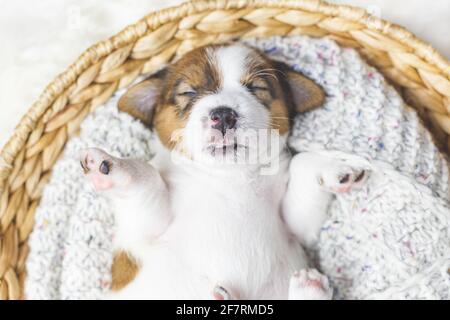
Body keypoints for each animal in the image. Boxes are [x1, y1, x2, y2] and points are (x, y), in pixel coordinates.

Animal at [80, 43, 370, 298]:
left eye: (256, 87)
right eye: (189, 93)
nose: (223, 115)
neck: (227, 178)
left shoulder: (295, 226)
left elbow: (302, 166)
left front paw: (335, 168)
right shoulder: (144, 229)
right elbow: (148, 177)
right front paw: (109, 165)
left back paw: (308, 287)